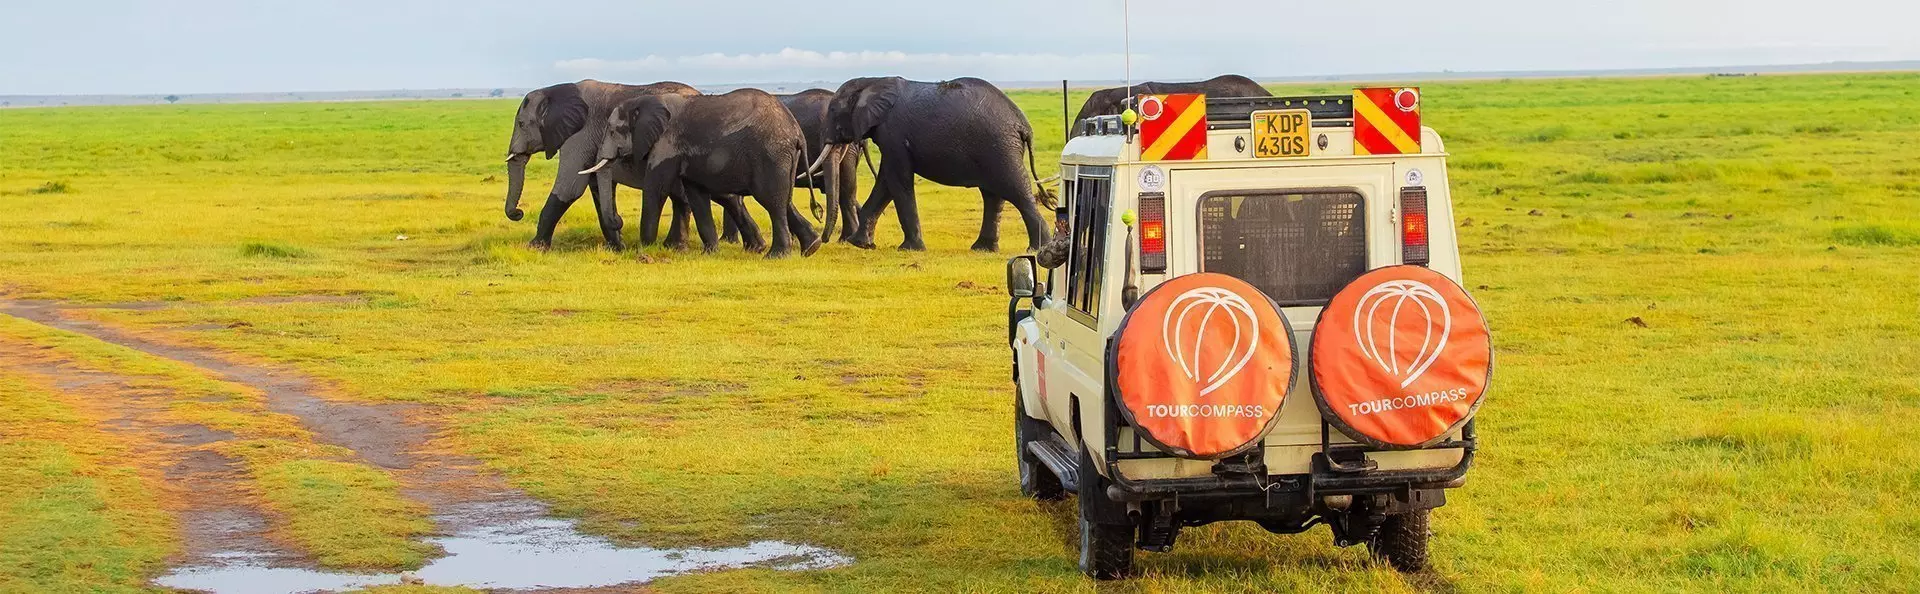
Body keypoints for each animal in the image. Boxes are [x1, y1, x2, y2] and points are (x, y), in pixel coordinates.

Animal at [583, 89, 821, 258]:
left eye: (612, 131)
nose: (618, 220)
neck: (645, 101)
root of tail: (796, 131)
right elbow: (696, 195)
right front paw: (710, 253)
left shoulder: (667, 143)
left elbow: (656, 188)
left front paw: (644, 249)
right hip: (783, 158)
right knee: (784, 198)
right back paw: (811, 247)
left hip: (770, 154)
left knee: (772, 200)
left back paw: (777, 256)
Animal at [822, 76, 1051, 252]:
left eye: (832, 110)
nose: (823, 241)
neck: (872, 82)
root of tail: (1024, 125)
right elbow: (886, 182)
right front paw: (860, 244)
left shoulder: (894, 133)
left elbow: (897, 181)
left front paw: (909, 249)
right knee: (993, 196)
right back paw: (983, 249)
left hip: (1000, 147)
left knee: (1016, 191)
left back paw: (1038, 249)